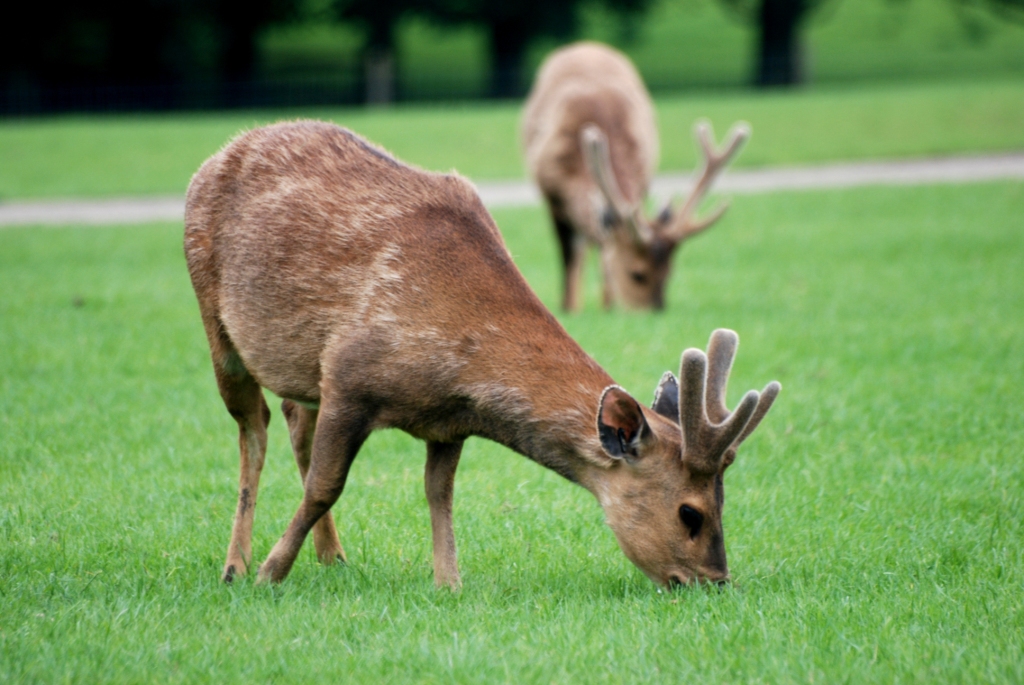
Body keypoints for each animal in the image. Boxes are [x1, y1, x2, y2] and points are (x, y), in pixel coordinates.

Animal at [183, 120, 781, 589]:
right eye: (690, 513)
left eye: (724, 503)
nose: (716, 581)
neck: (459, 364)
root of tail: (217, 155)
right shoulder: (350, 376)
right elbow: (325, 487)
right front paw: (271, 573)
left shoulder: (446, 422)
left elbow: (439, 494)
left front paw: (449, 582)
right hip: (212, 310)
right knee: (253, 427)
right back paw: (236, 565)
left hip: (302, 370)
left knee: (291, 417)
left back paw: (333, 556)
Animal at [522, 41, 749, 312]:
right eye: (636, 274)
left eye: (669, 274)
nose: (653, 312)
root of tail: (587, 45)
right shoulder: (552, 197)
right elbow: (570, 263)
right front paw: (569, 308)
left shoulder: (642, 182)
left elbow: (604, 263)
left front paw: (608, 307)